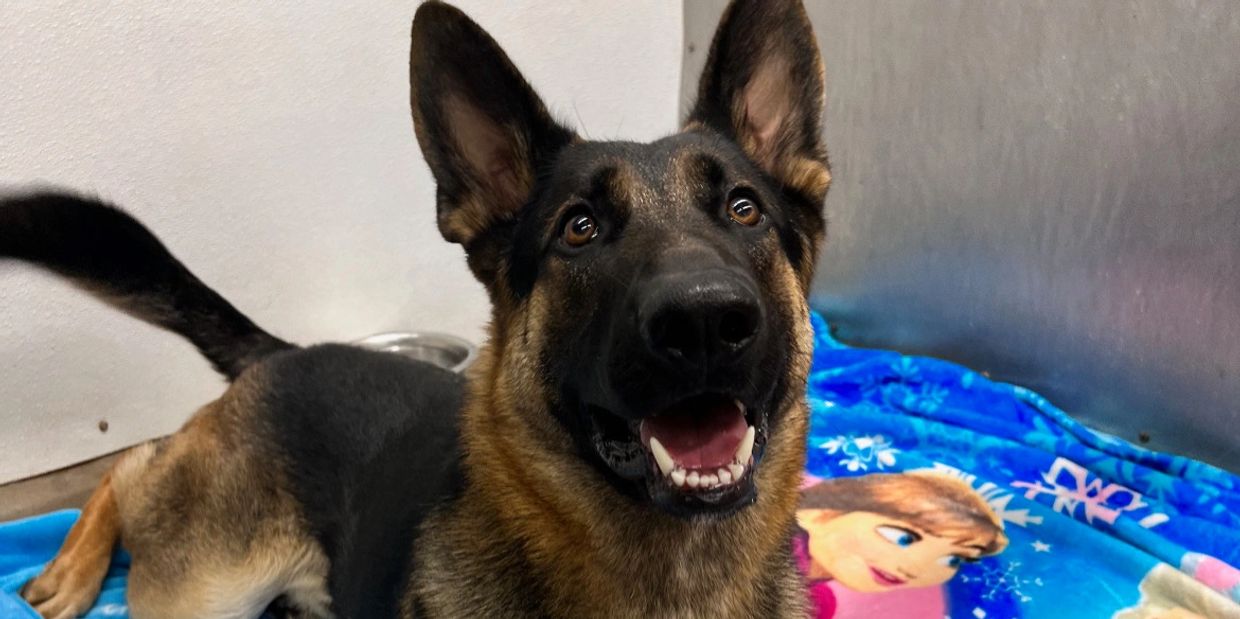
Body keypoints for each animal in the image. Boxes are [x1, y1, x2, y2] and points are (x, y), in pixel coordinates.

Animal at [2, 1, 833, 615]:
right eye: (579, 227)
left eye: (744, 209)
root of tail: (289, 351)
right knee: (131, 463)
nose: (705, 320)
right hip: (210, 580)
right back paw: (72, 570)